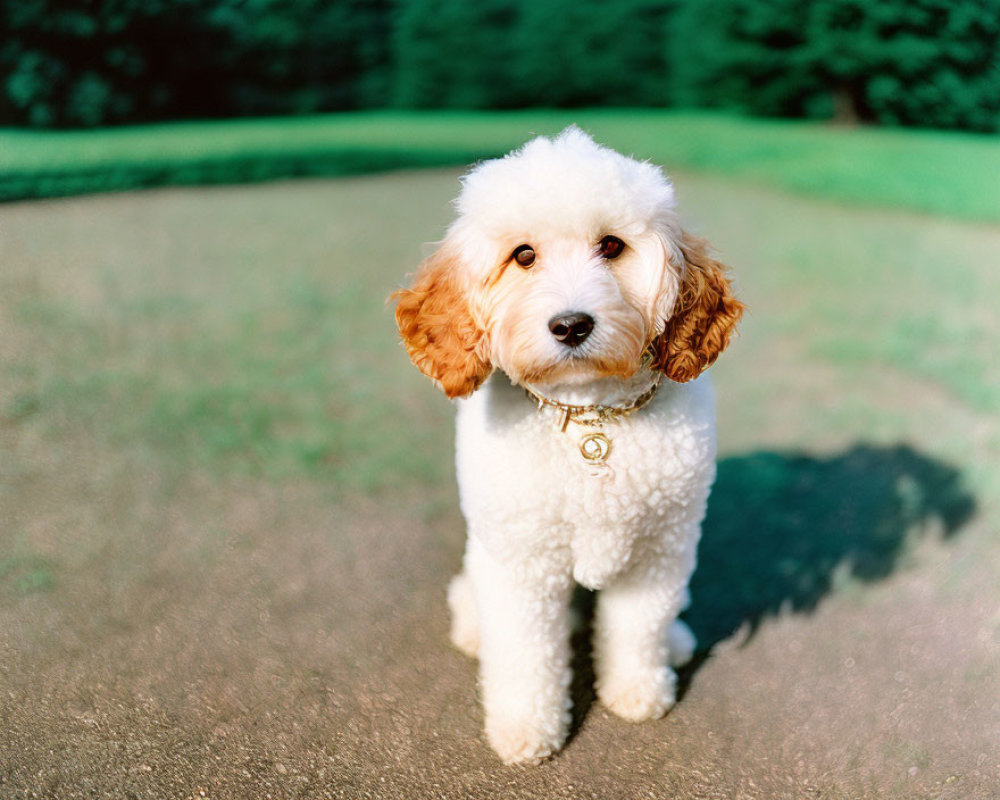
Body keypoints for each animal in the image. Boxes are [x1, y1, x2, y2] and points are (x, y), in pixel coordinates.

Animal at [390, 128, 744, 764]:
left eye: (612, 246)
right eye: (523, 255)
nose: (571, 325)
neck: (589, 417)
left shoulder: (657, 551)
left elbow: (637, 630)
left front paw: (638, 693)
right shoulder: (521, 563)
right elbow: (525, 654)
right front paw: (526, 729)